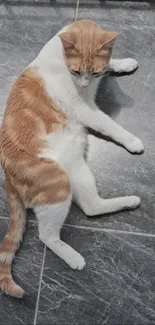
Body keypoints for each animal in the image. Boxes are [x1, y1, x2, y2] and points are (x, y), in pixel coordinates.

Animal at [0, 19, 144, 296]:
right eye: (76, 72)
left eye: (94, 73)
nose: (86, 85)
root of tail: (6, 173)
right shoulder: (85, 110)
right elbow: (109, 124)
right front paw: (132, 141)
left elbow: (110, 62)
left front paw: (123, 63)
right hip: (56, 184)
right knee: (46, 235)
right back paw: (74, 258)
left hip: (78, 172)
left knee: (91, 207)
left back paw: (129, 201)